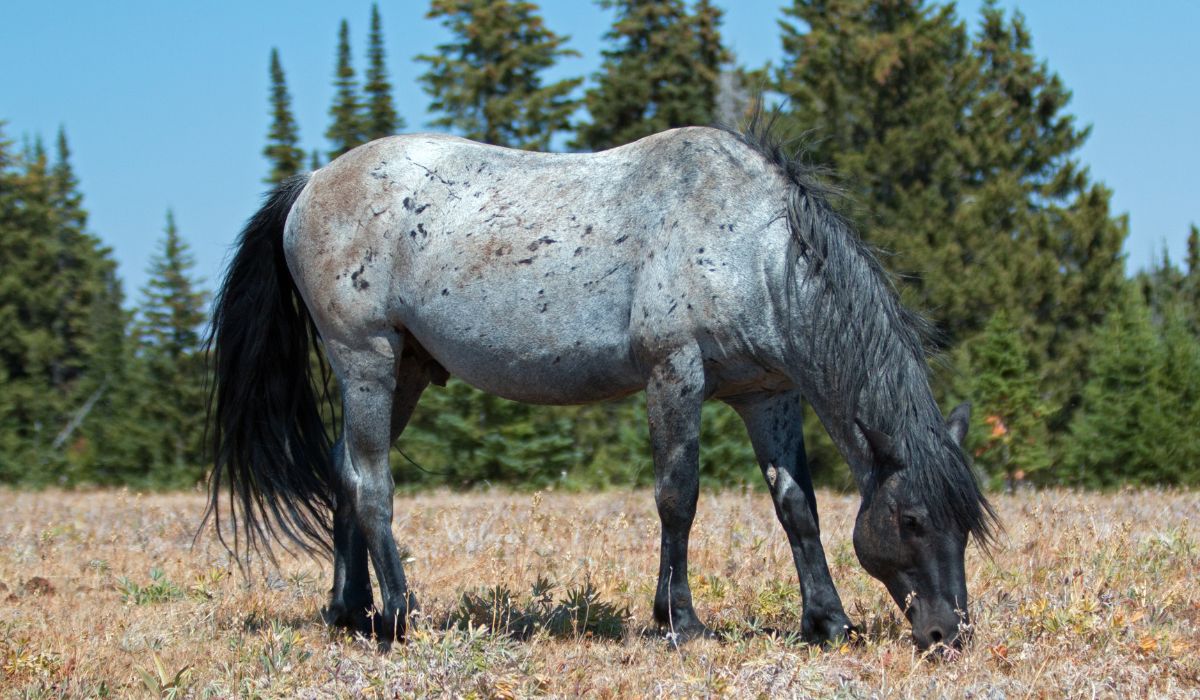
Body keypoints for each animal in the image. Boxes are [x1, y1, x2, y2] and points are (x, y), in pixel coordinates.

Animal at [204, 111, 993, 653]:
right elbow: (678, 498)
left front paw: (827, 622)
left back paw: (351, 613)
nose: (948, 634)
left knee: (343, 472)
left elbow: (797, 508)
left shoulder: (768, 395)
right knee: (371, 482)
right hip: (366, 360)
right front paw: (681, 621)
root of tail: (310, 183)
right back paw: (401, 616)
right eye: (912, 520)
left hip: (407, 372)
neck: (752, 244)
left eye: (965, 523)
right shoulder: (675, 374)